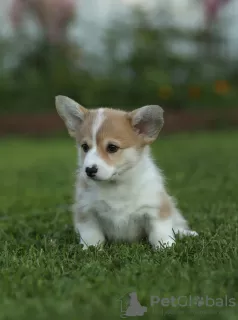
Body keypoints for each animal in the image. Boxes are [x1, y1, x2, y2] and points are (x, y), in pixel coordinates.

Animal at [55, 95, 197, 250]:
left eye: (112, 147)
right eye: (85, 147)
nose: (89, 170)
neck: (116, 185)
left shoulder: (155, 208)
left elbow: (160, 232)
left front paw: (166, 247)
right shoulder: (87, 211)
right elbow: (91, 236)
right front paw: (90, 249)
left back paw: (186, 233)